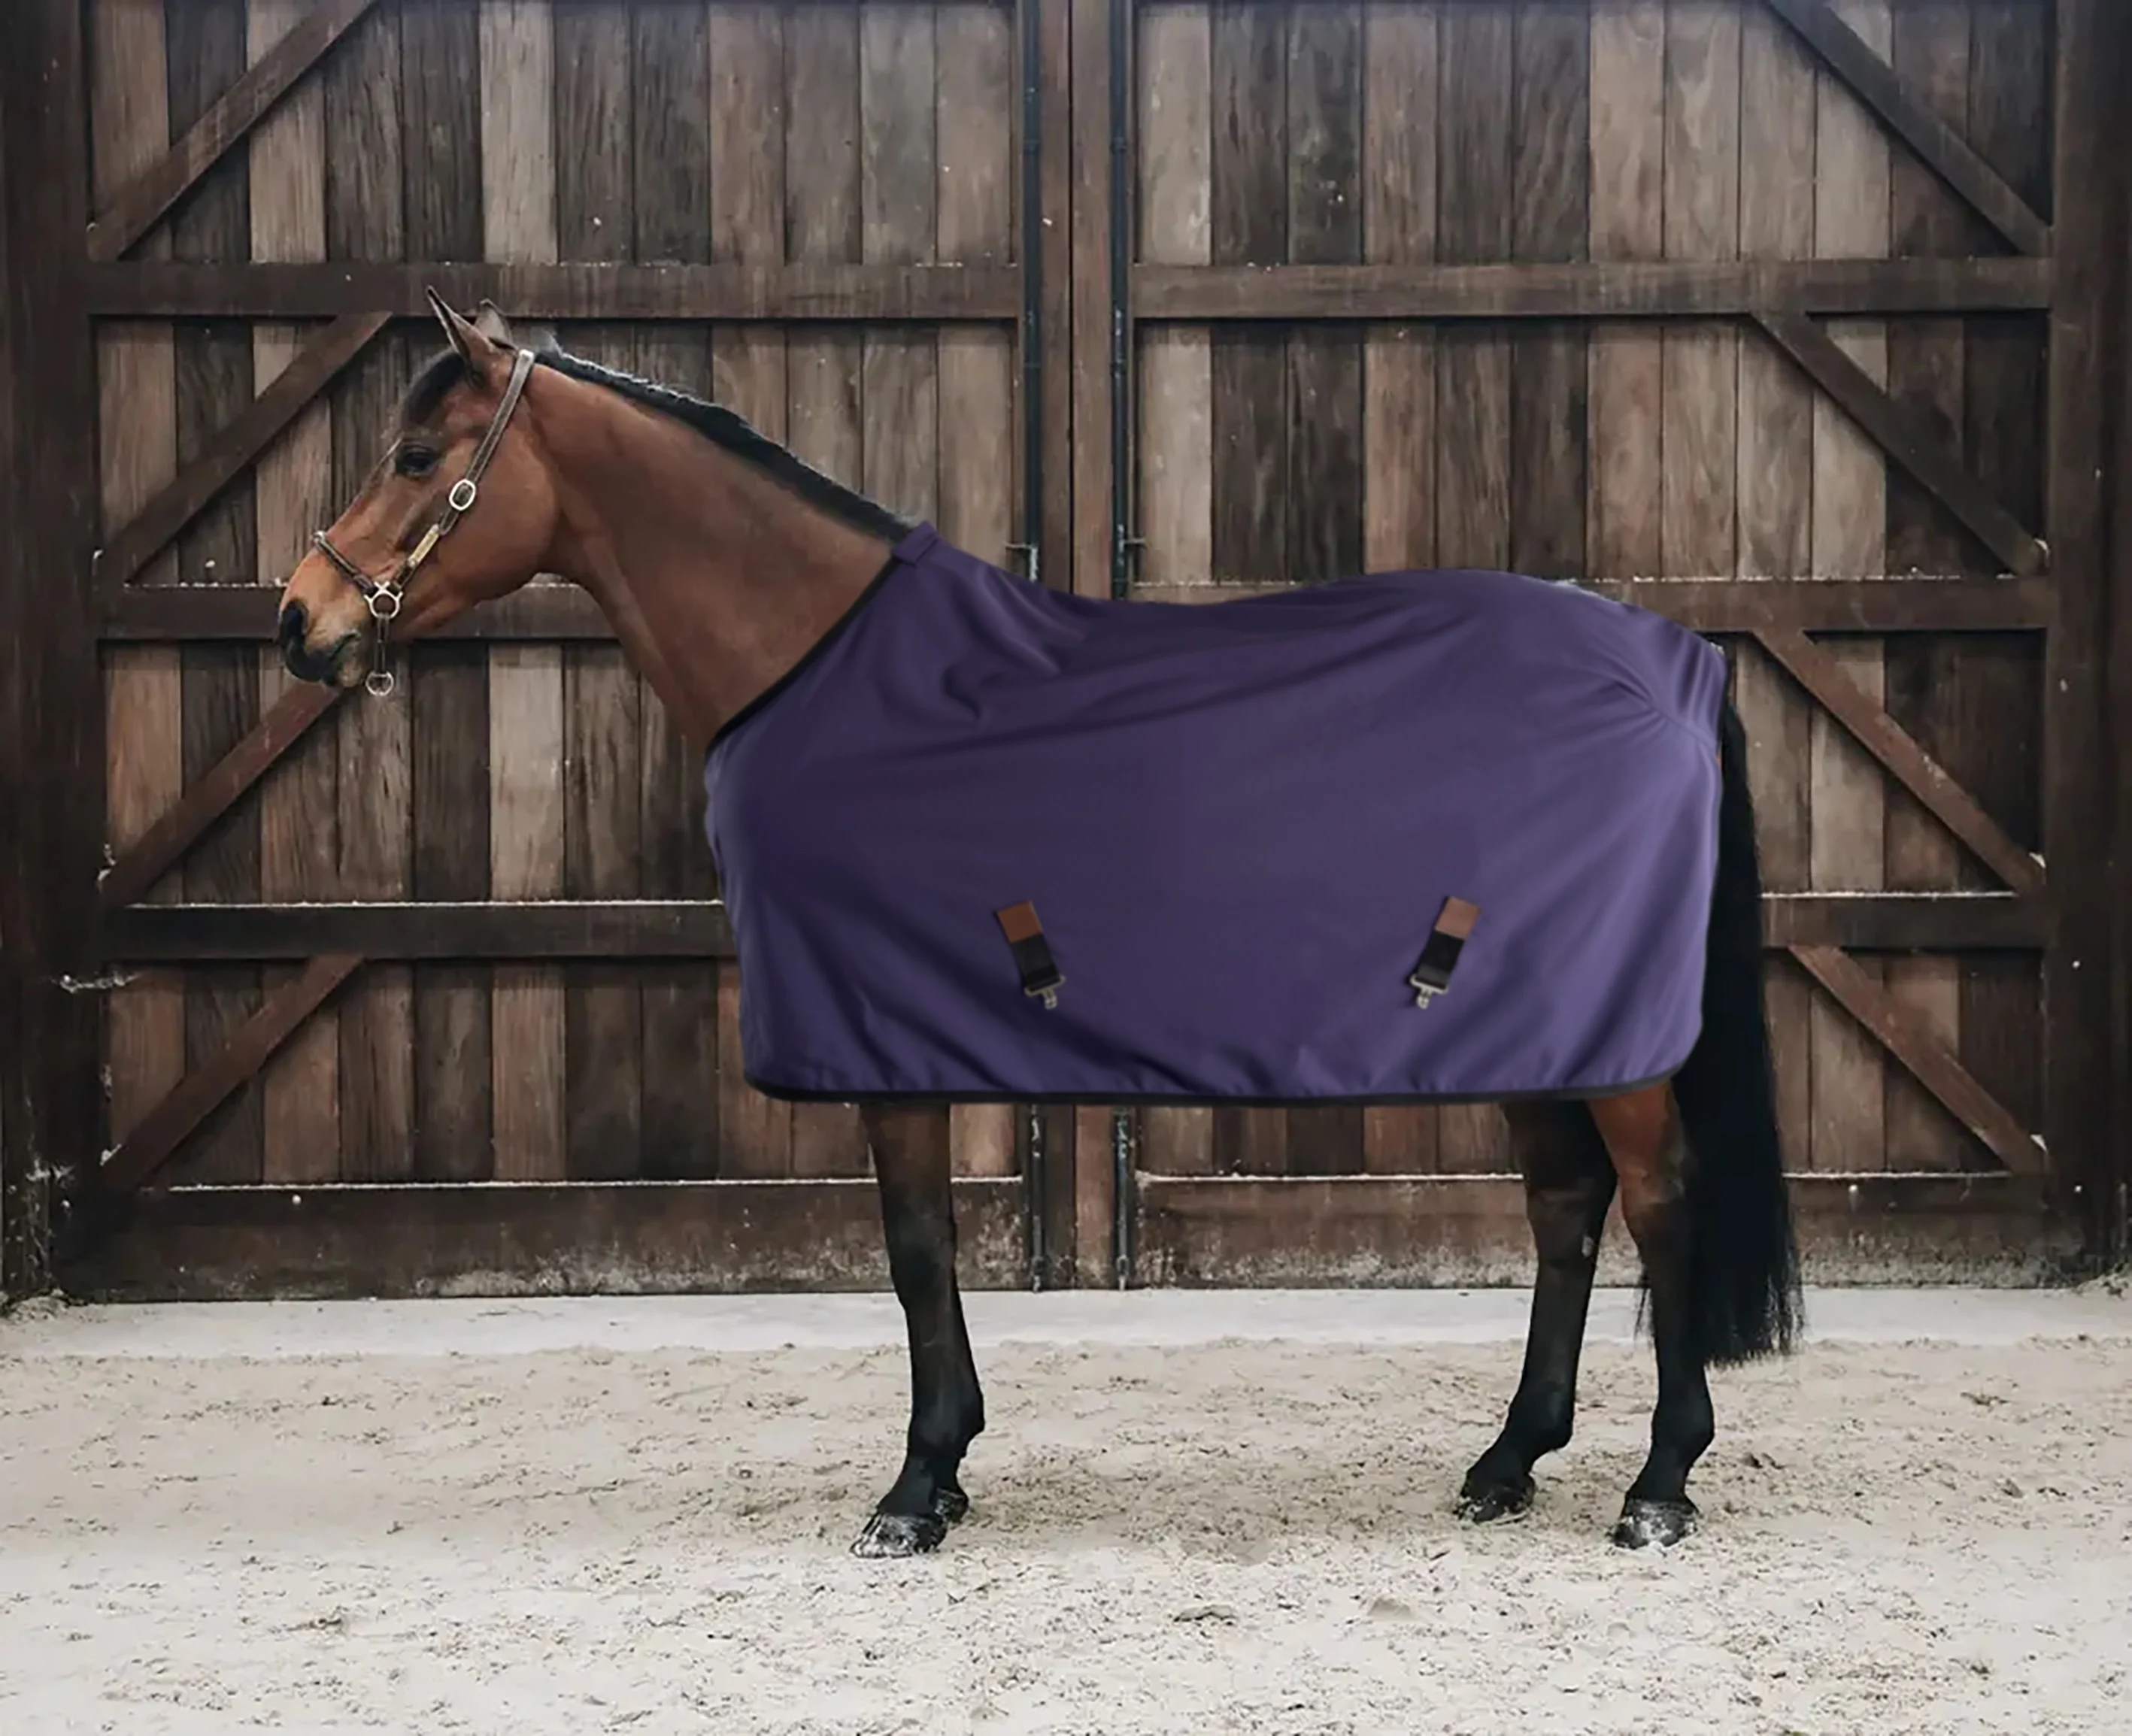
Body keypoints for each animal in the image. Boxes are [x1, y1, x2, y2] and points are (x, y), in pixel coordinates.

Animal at [277, 290, 1803, 1558]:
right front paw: (944, 1470)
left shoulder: (883, 1039)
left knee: (1658, 1204)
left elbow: (913, 1251)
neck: (821, 664)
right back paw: (1506, 1460)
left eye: (416, 457)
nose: (299, 620)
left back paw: (1657, 1484)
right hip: (1533, 1020)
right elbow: (933, 1248)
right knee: (1564, 1207)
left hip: (1607, 1039)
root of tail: (1678, 658)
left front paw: (914, 1488)